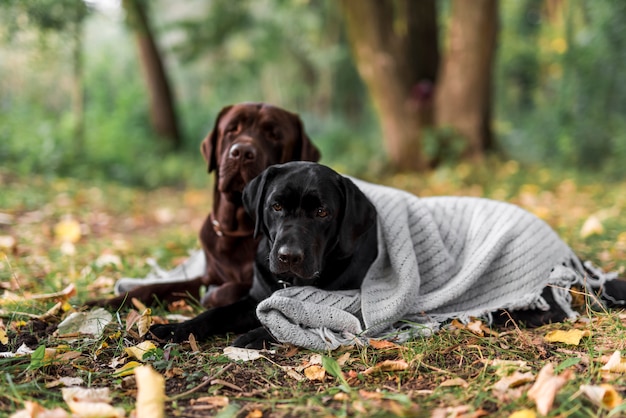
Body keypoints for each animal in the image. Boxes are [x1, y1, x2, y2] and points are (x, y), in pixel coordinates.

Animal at [149, 162, 378, 348]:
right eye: (276, 206)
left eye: (322, 212)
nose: (289, 256)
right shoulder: (253, 300)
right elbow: (217, 312)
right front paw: (175, 328)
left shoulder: (352, 309)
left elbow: (296, 316)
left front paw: (256, 335)